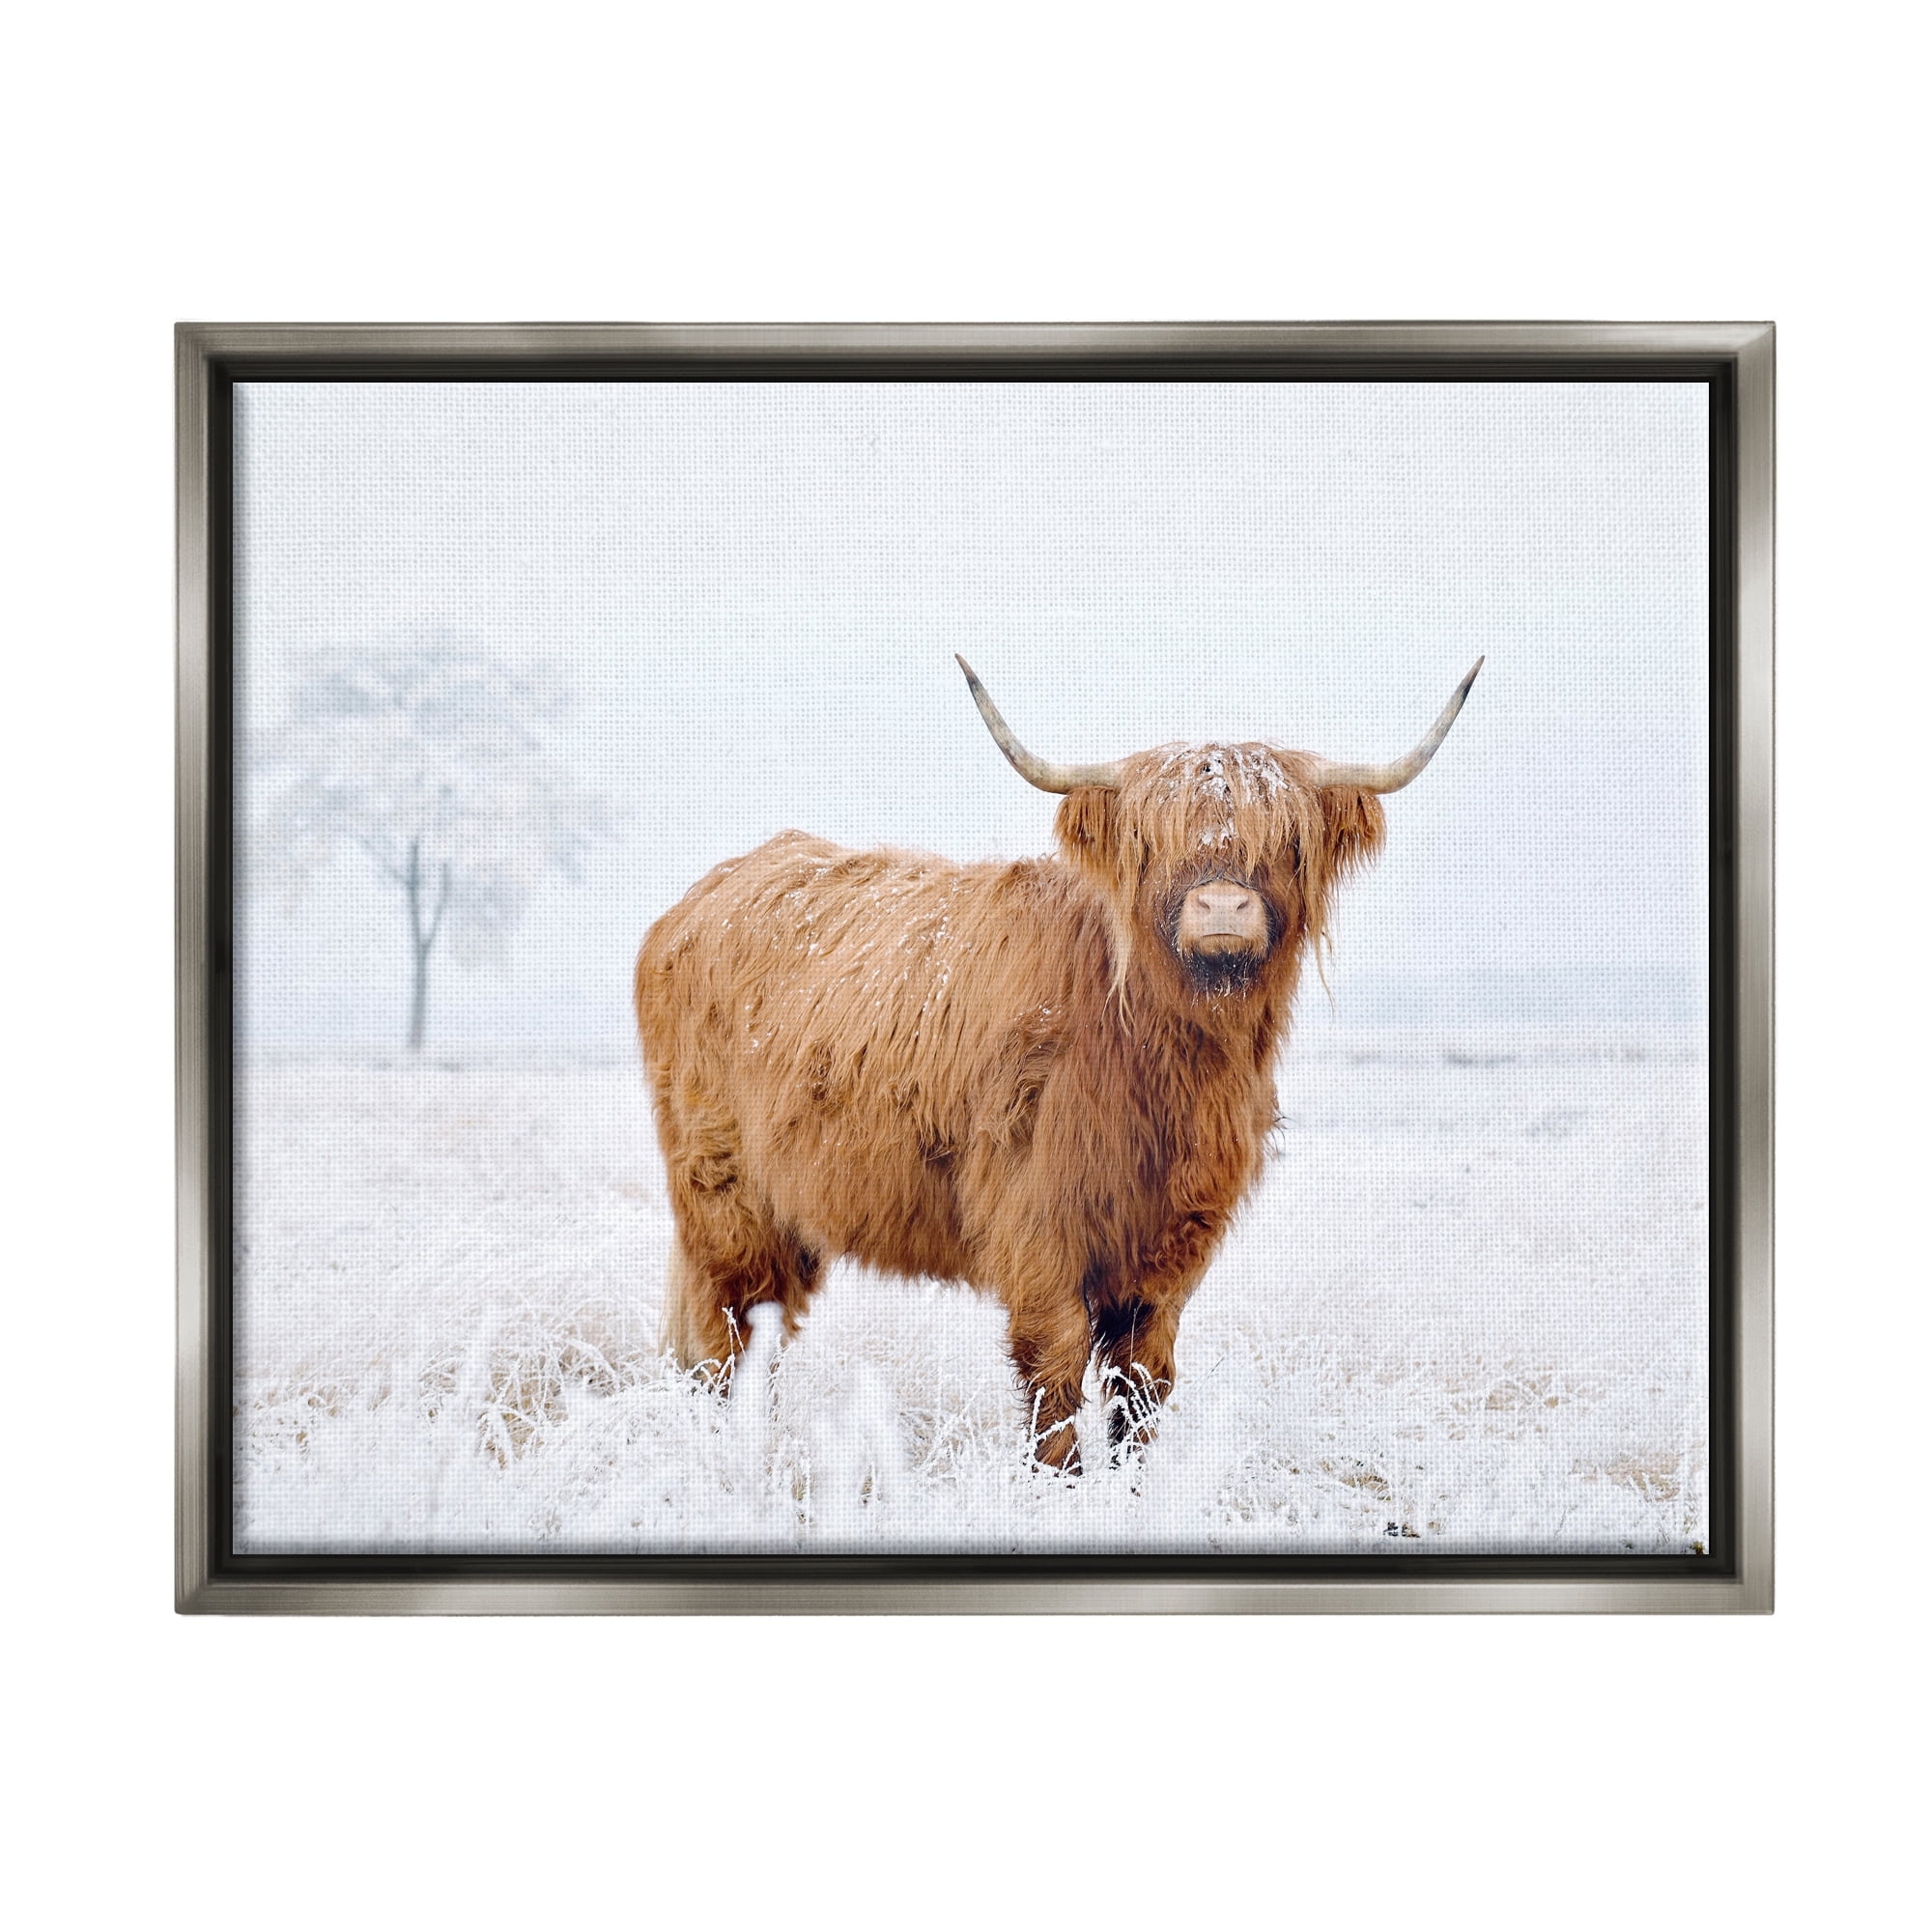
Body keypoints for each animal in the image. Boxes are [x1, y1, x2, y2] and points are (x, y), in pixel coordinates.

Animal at [635, 656, 1482, 1471]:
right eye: (1151, 841)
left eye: (1284, 842)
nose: (1221, 908)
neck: (1162, 1064)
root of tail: (700, 897)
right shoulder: (1037, 1224)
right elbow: (1056, 1372)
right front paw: (1060, 1485)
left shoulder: (1172, 1245)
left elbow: (1143, 1382)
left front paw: (1136, 1487)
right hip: (724, 1195)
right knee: (731, 1333)